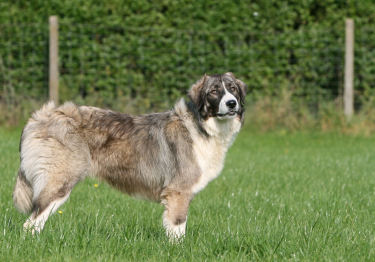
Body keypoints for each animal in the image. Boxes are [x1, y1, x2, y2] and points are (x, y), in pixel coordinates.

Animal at [12, 71, 247, 239]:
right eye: (214, 92)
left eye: (233, 89)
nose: (232, 103)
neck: (201, 126)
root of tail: (43, 115)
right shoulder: (178, 193)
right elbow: (178, 228)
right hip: (60, 182)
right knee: (31, 223)